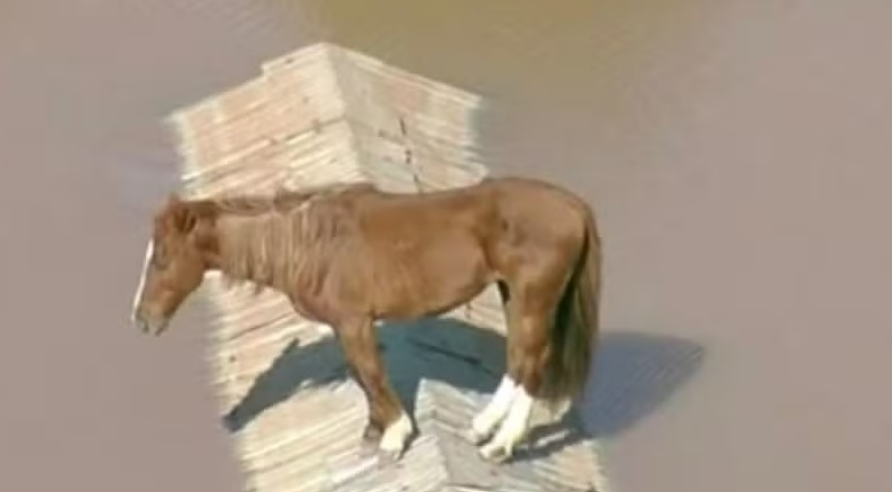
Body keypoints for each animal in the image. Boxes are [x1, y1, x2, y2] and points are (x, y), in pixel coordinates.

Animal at [131, 176, 602, 464]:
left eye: (163, 258)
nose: (141, 320)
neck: (309, 244)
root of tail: (574, 205)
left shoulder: (353, 322)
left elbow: (371, 373)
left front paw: (394, 436)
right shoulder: (349, 326)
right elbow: (362, 377)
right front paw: (374, 432)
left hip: (533, 297)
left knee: (532, 363)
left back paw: (499, 445)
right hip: (513, 294)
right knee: (520, 358)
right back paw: (483, 428)